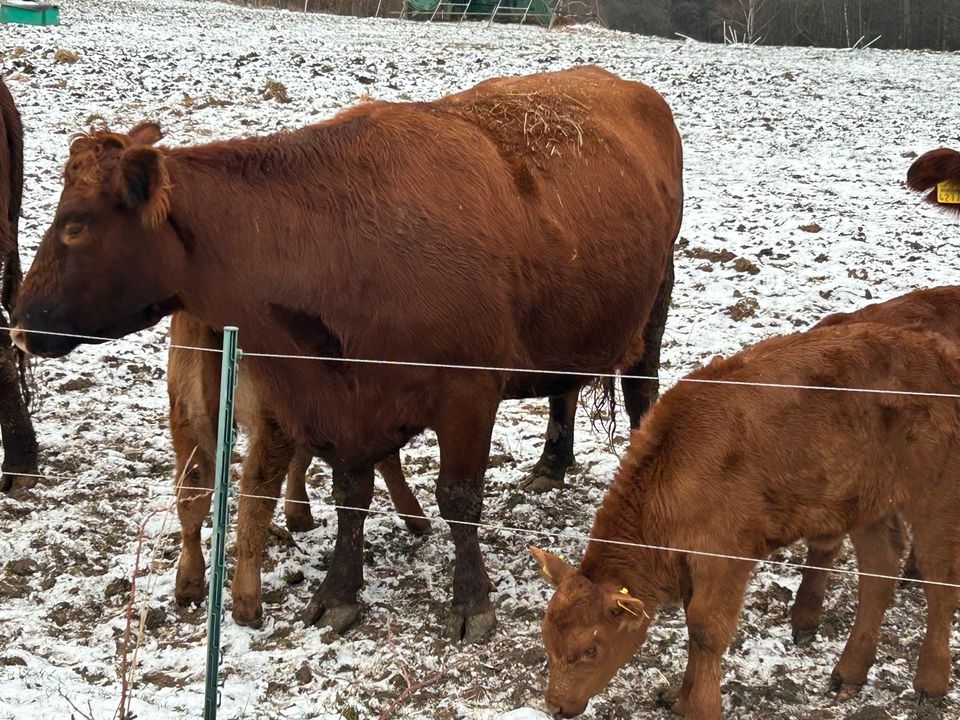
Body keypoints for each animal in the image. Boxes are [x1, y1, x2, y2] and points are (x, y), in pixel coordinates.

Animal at [169, 312, 432, 612]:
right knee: (257, 488)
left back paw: (188, 584)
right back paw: (247, 602)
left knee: (193, 485)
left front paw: (298, 515)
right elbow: (386, 460)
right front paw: (417, 519)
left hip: (189, 412)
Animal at [532, 324, 960, 716]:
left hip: (935, 497)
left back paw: (930, 683)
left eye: (591, 648)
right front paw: (679, 698)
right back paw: (848, 674)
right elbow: (693, 625)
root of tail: (940, 352)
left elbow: (705, 629)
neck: (673, 462)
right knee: (879, 572)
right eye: (547, 641)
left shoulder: (722, 557)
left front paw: (700, 708)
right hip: (869, 504)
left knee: (938, 579)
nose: (555, 705)